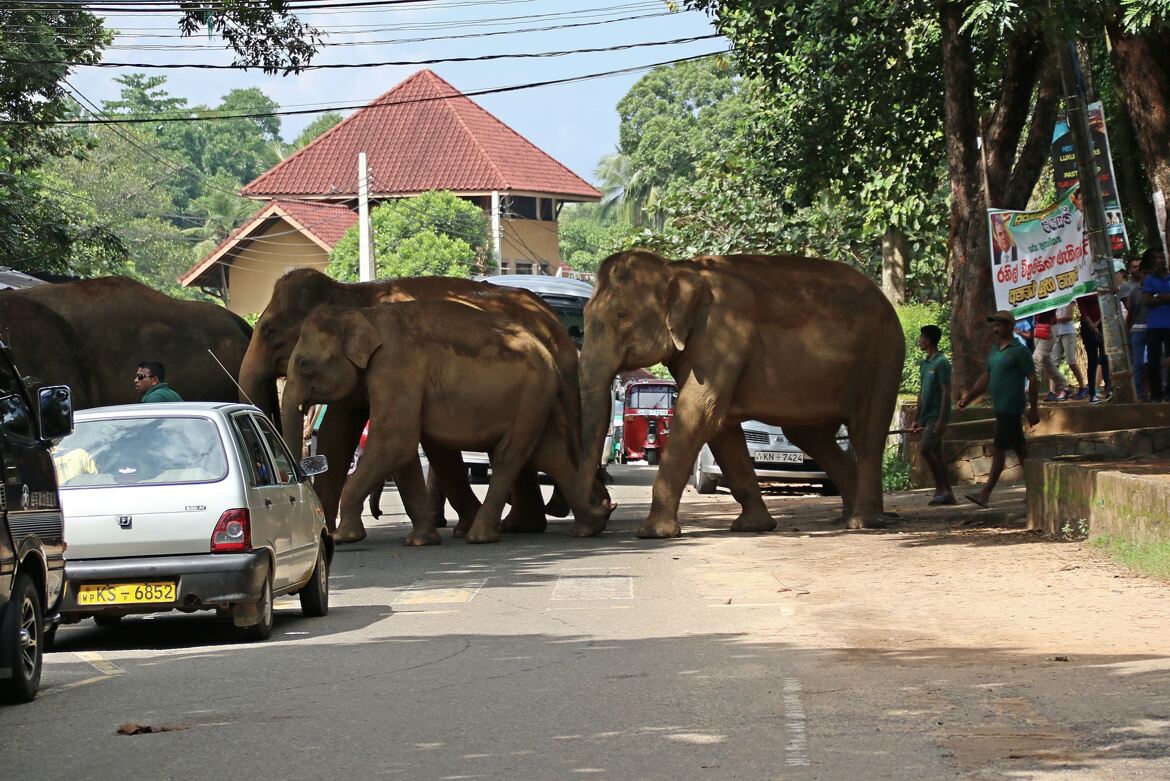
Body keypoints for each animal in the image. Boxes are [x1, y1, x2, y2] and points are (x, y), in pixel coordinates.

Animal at [238, 268, 585, 537]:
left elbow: (374, 435)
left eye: (268, 332)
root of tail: (552, 318)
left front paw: (338, 536)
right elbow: (340, 432)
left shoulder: (399, 366)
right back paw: (521, 523)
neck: (352, 295)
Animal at [281, 301, 613, 547]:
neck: (365, 315)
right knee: (549, 453)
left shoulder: (395, 369)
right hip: (537, 401)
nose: (378, 514)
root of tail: (553, 357)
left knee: (510, 455)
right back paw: (590, 526)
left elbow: (394, 442)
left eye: (303, 364)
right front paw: (420, 541)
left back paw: (479, 537)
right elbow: (402, 452)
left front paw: (345, 537)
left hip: (531, 396)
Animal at [575, 250, 903, 537]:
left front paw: (653, 533)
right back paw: (849, 515)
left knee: (865, 433)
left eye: (622, 315)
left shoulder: (722, 334)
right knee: (809, 435)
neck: (677, 268)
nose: (606, 504)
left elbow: (699, 415)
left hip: (882, 356)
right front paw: (753, 526)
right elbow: (721, 428)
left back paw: (863, 522)